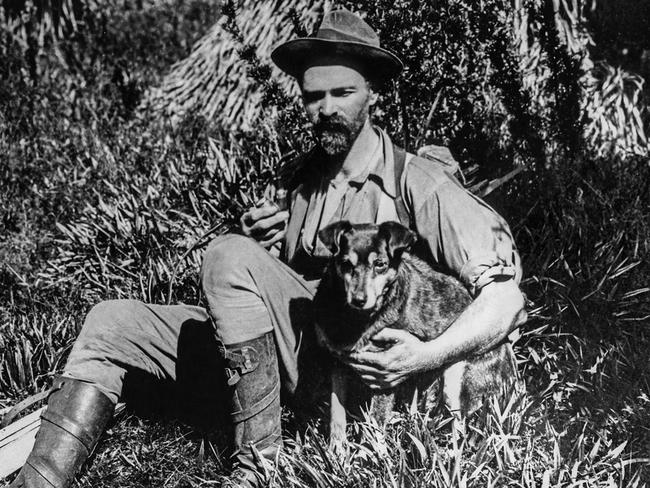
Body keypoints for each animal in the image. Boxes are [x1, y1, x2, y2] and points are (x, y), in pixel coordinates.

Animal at [312, 221, 520, 446]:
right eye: (345, 263)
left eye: (380, 264)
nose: (359, 299)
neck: (354, 319)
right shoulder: (336, 363)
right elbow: (336, 415)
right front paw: (336, 451)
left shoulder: (382, 373)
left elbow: (375, 424)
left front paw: (368, 452)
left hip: (456, 375)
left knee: (461, 429)